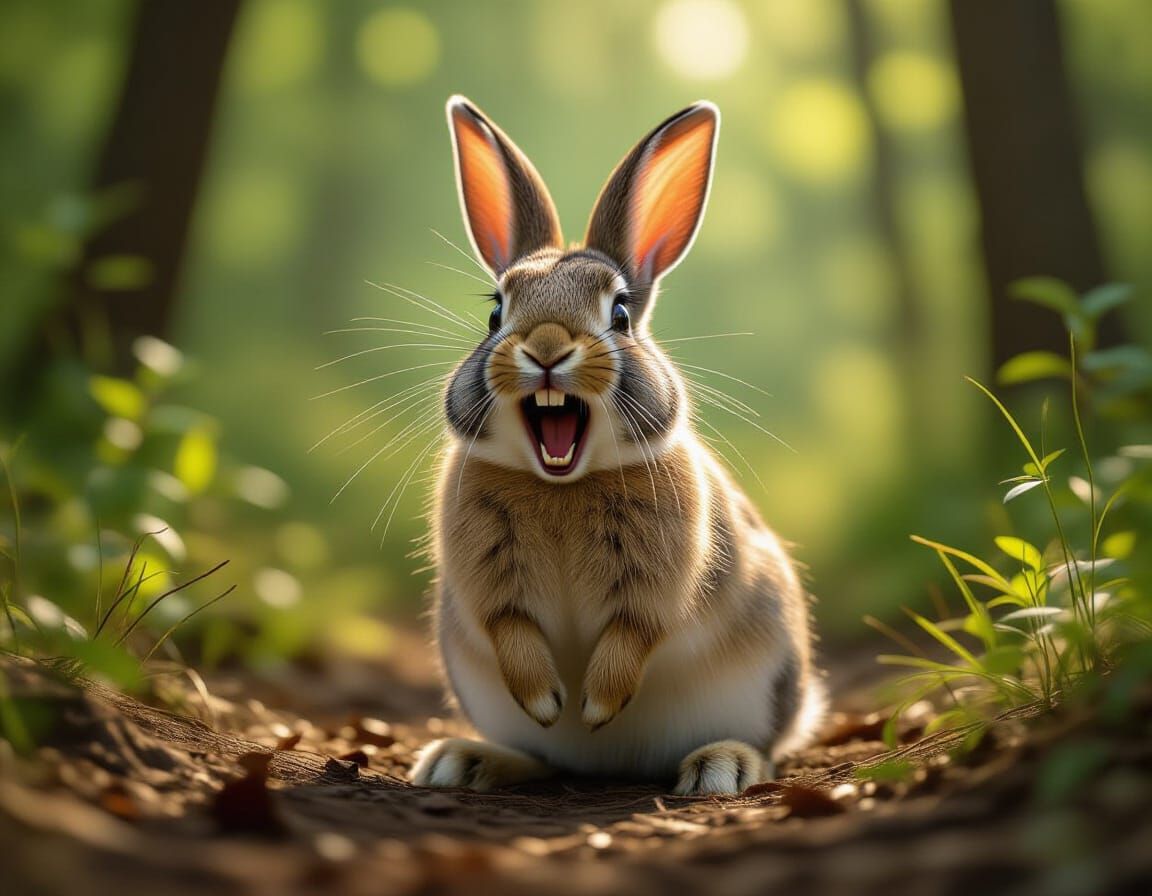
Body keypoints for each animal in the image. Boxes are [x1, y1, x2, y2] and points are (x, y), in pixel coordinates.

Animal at [410, 95, 825, 796]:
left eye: (621, 314)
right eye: (496, 313)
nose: (547, 347)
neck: (562, 482)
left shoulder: (660, 575)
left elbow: (636, 630)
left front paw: (597, 704)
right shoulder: (486, 581)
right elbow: (509, 628)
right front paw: (551, 700)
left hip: (771, 674)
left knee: (769, 747)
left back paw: (719, 766)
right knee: (543, 759)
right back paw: (463, 762)